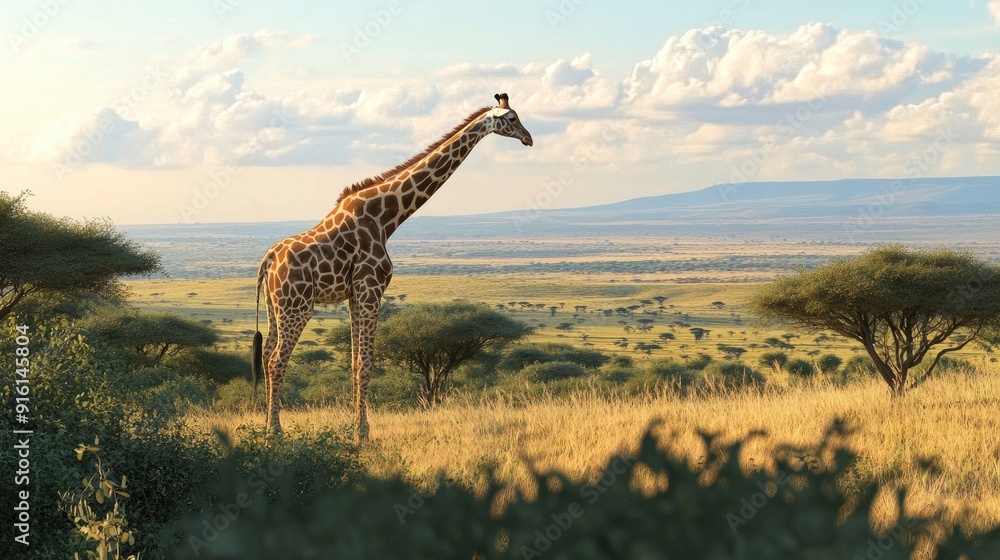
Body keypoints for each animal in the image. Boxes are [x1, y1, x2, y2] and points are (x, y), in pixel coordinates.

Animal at [252, 93, 533, 440]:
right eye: (512, 119)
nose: (529, 138)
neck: (387, 219)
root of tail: (268, 260)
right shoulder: (371, 290)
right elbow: (366, 363)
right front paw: (362, 432)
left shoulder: (356, 295)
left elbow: (355, 362)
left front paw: (355, 426)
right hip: (297, 306)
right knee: (277, 360)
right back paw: (274, 432)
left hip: (275, 307)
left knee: (266, 355)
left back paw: (267, 425)